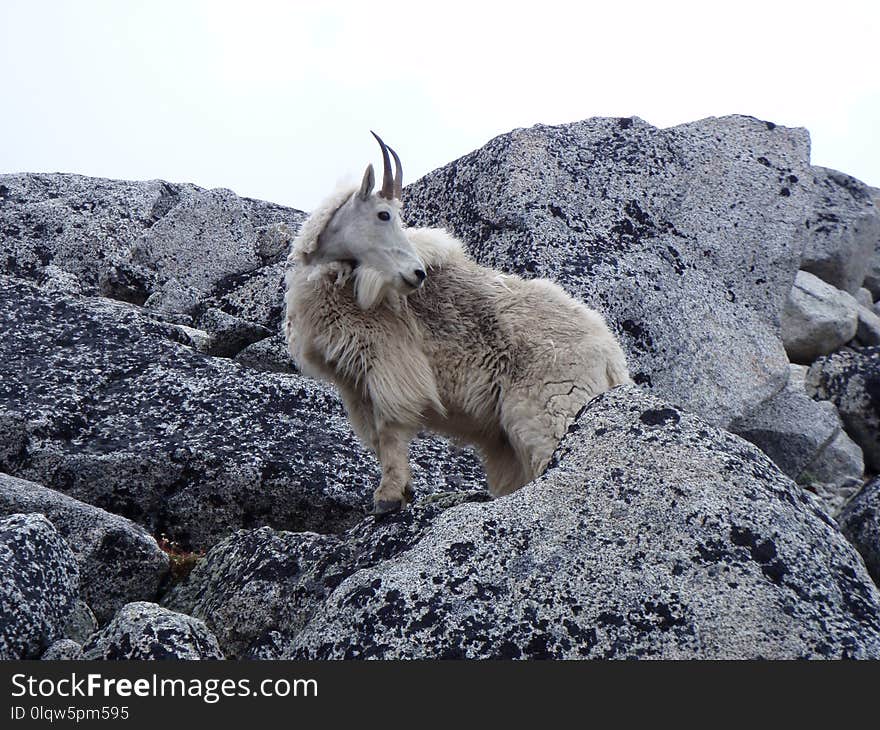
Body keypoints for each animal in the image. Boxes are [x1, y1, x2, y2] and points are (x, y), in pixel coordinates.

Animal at [286, 134, 628, 516]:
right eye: (383, 214)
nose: (417, 274)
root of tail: (611, 356)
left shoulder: (390, 363)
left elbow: (390, 430)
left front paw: (388, 497)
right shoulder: (355, 382)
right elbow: (375, 438)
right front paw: (403, 490)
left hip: (553, 407)